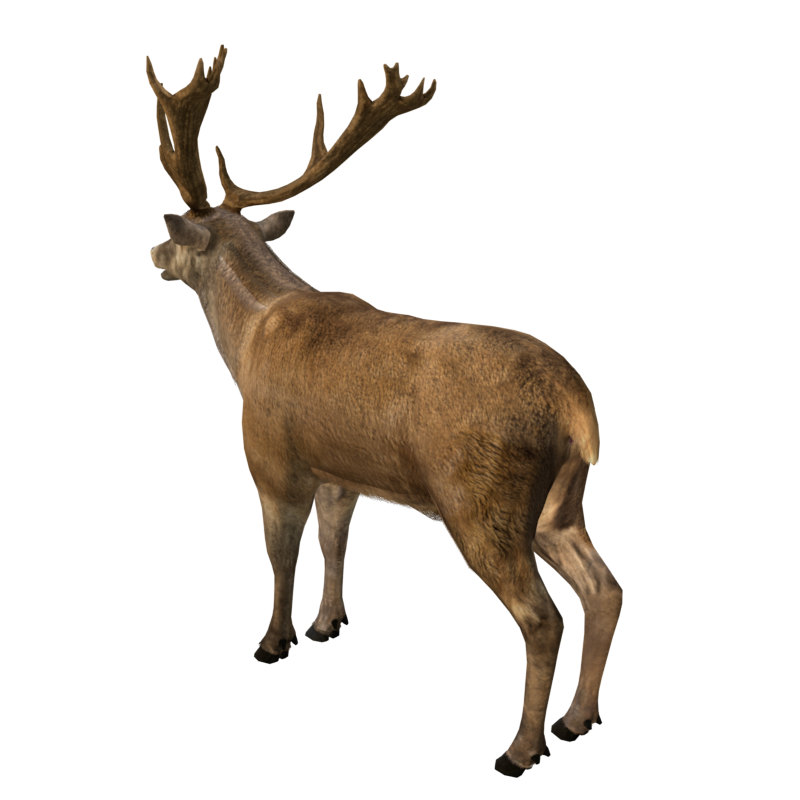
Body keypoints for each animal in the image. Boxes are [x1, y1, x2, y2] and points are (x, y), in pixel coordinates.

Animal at [146, 45, 623, 778]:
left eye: (175, 233)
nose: (151, 252)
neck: (248, 336)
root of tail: (576, 407)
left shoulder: (272, 455)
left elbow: (280, 552)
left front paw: (274, 640)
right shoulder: (340, 472)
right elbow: (335, 539)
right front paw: (326, 623)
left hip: (483, 502)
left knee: (543, 617)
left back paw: (521, 748)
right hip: (559, 503)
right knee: (604, 588)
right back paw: (577, 720)